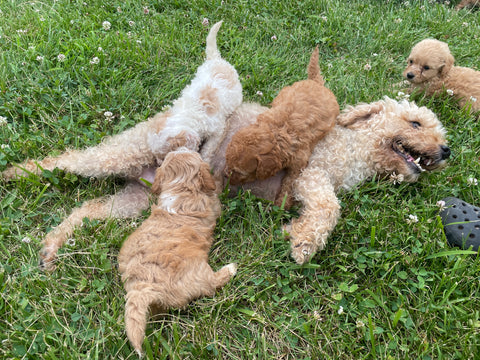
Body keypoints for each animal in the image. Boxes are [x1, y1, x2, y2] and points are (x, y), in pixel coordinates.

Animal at [117, 148, 235, 356]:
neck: (181, 188)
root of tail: (144, 284)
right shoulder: (213, 204)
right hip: (198, 274)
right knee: (212, 284)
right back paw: (230, 269)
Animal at [224, 46, 338, 208]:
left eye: (239, 172)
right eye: (226, 160)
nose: (224, 174)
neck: (276, 132)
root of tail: (315, 82)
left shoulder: (299, 162)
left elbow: (290, 182)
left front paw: (282, 203)